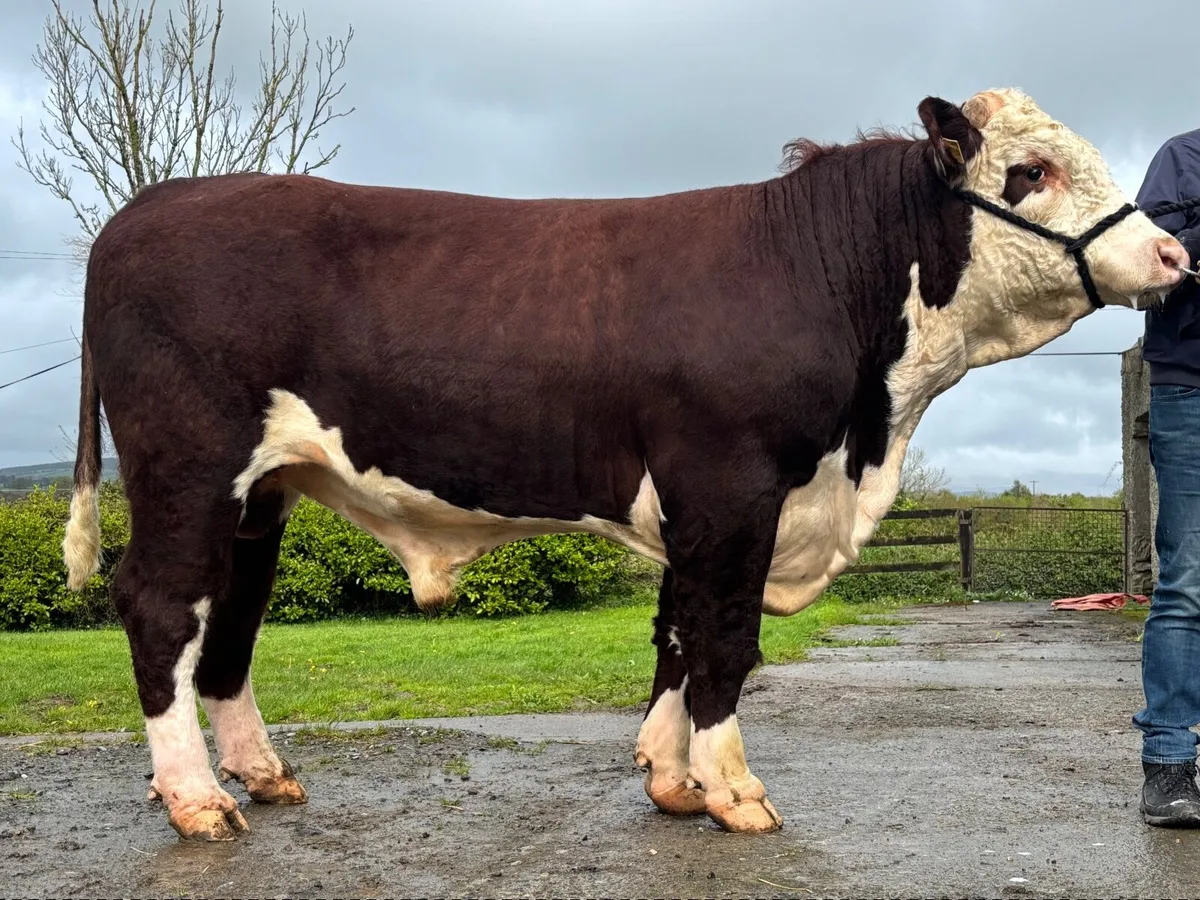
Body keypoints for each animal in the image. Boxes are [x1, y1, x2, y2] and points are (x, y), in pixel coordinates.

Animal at [61, 87, 1186, 842]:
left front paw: (672, 779)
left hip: (259, 494)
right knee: (162, 607)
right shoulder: (733, 486)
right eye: (1028, 172)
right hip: (190, 468)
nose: (1173, 255)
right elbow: (723, 639)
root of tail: (150, 206)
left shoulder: (701, 502)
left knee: (230, 622)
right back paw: (196, 800)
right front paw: (734, 791)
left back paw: (260, 774)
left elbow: (676, 634)